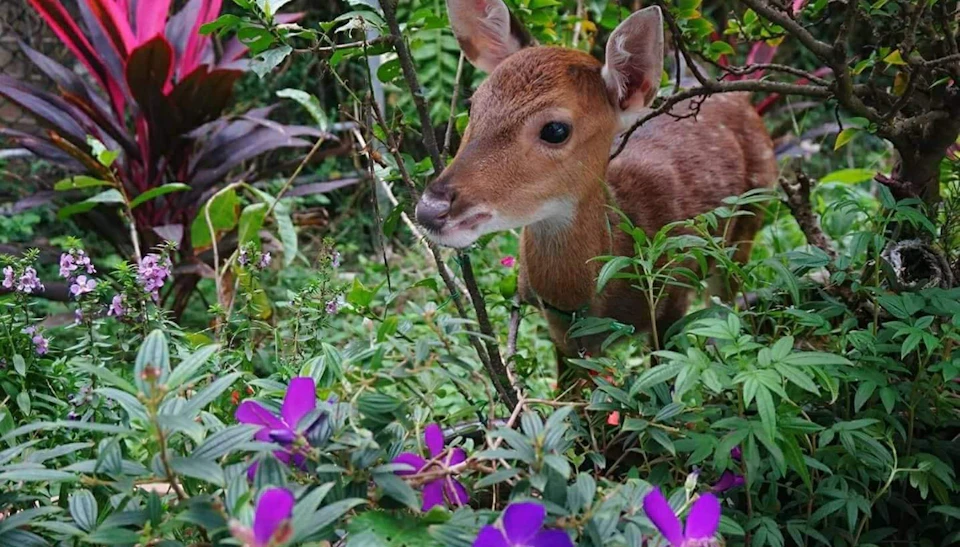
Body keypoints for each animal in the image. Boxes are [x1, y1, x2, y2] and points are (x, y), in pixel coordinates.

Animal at [415, 0, 777, 381]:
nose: (431, 207)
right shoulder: (562, 333)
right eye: (473, 104)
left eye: (556, 129)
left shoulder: (672, 298)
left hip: (749, 221)